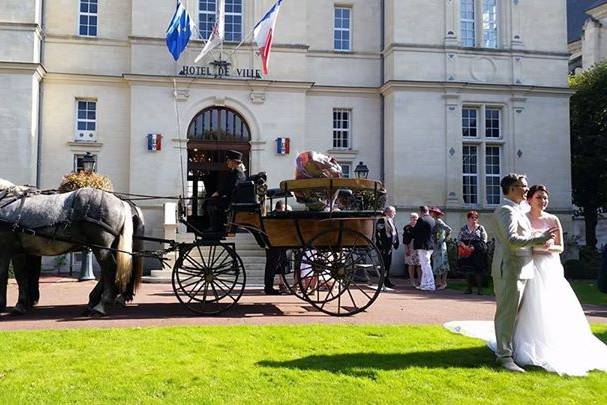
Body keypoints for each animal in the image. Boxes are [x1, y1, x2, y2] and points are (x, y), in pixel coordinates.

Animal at [0, 178, 144, 314]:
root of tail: (121, 202)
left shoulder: (12, 250)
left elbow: (16, 276)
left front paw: (19, 304)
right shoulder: (30, 252)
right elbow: (31, 275)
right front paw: (29, 301)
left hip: (101, 247)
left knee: (110, 269)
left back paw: (101, 305)